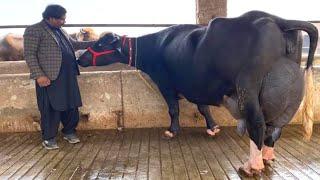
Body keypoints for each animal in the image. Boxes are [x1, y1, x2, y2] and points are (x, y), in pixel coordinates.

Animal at [77, 10, 318, 176]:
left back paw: (252, 166)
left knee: (257, 122)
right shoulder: (195, 85)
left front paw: (172, 131)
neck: (155, 47)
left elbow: (173, 109)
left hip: (247, 85)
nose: (80, 58)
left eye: (99, 44)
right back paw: (267, 156)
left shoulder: (165, 84)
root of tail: (277, 19)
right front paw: (213, 128)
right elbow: (202, 107)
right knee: (275, 124)